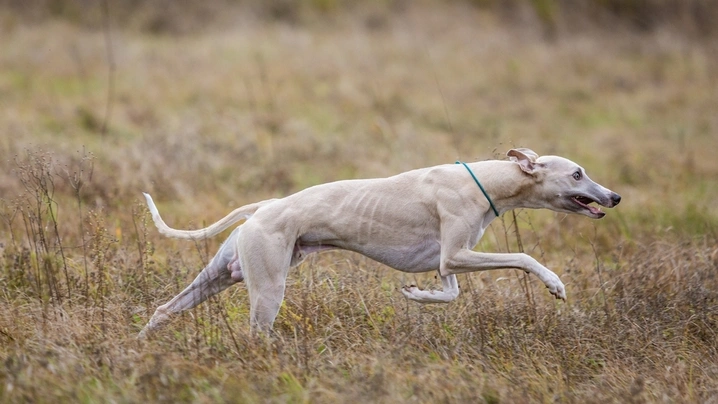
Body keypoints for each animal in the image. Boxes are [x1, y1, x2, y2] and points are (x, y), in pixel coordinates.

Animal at [138, 148, 620, 338]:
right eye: (577, 173)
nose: (614, 197)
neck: (487, 180)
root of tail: (263, 208)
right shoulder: (457, 254)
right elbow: (521, 255)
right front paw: (554, 283)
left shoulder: (447, 262)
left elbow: (448, 292)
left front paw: (417, 294)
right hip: (268, 286)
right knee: (258, 332)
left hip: (224, 273)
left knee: (164, 309)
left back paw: (139, 345)